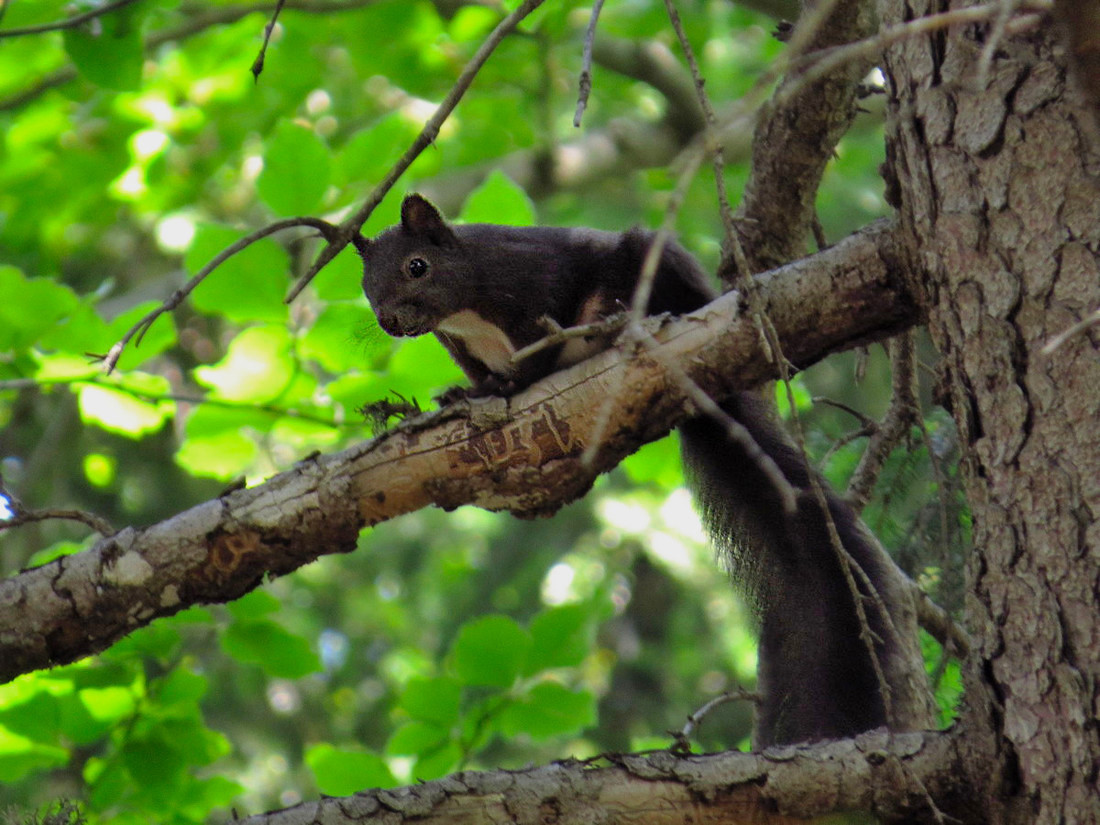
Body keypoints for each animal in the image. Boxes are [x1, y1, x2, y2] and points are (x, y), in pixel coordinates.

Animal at [356, 193, 932, 748]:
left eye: (417, 266)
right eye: (365, 286)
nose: (388, 320)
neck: (465, 311)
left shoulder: (532, 284)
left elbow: (535, 352)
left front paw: (506, 387)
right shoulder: (464, 348)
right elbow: (482, 374)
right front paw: (466, 394)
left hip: (654, 265)